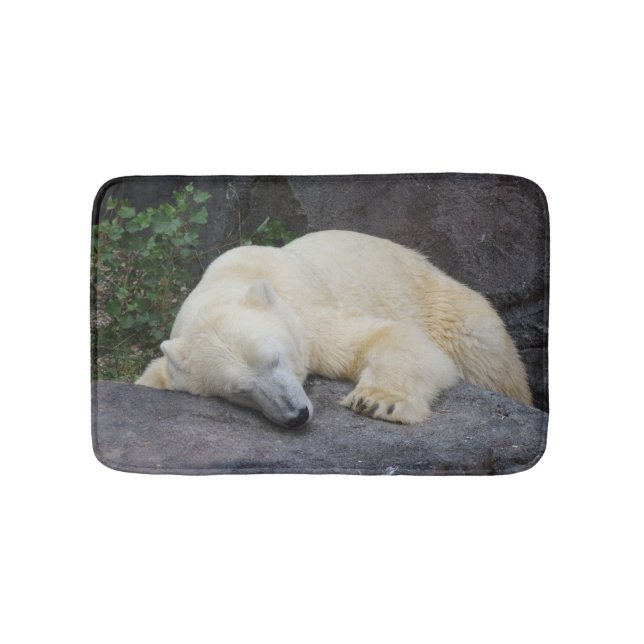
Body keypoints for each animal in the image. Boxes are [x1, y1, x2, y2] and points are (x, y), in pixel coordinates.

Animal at [136, 230, 532, 427]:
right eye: (241, 390)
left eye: (275, 359)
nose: (296, 415)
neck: (233, 278)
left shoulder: (307, 316)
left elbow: (389, 337)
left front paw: (376, 402)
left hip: (449, 306)